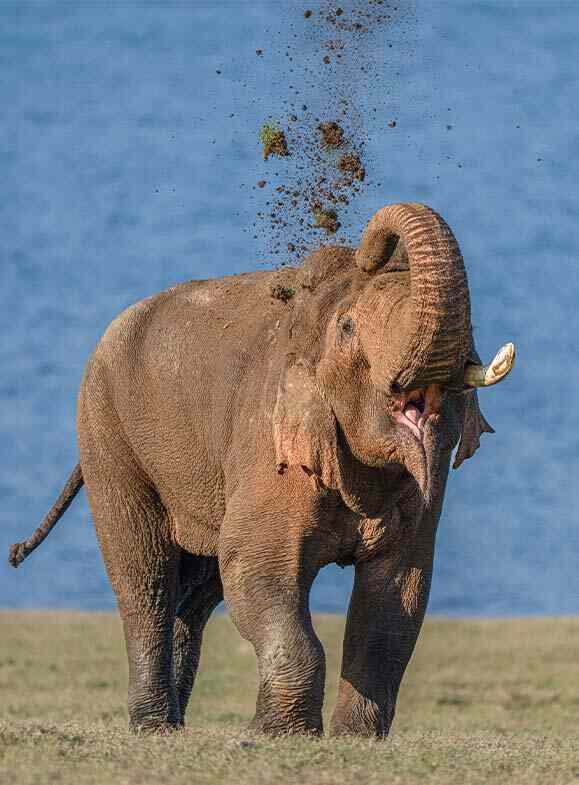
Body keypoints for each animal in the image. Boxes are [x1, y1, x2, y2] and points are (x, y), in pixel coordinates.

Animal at [10, 201, 516, 736]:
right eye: (349, 328)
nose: (374, 246)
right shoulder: (267, 446)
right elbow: (256, 567)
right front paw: (280, 736)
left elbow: (399, 593)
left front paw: (354, 740)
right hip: (106, 433)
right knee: (144, 578)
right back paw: (154, 727)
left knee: (197, 593)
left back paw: (176, 724)